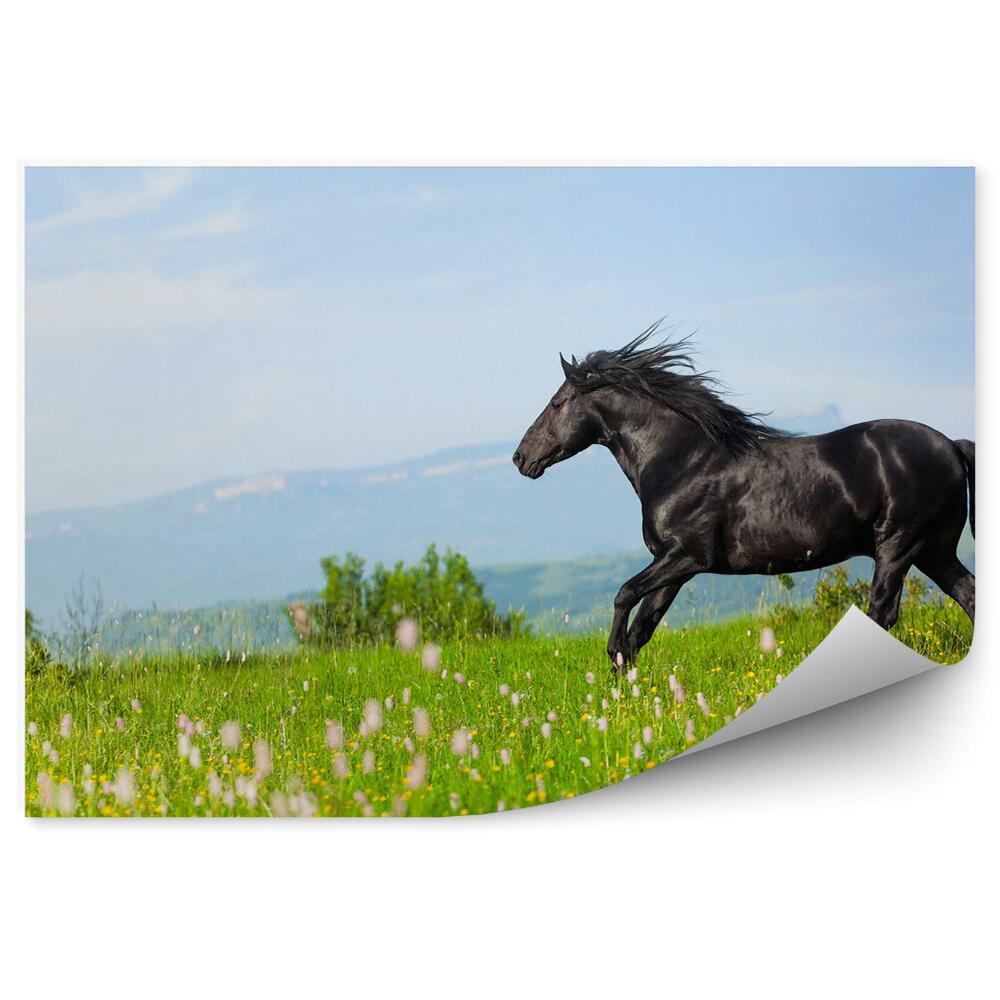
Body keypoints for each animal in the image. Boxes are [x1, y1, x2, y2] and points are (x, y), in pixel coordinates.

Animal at [513, 325, 975, 670]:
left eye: (557, 404)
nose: (521, 458)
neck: (683, 461)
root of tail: (951, 446)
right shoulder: (674, 567)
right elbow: (643, 626)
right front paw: (625, 683)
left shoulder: (687, 556)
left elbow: (625, 593)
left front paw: (615, 657)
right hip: (932, 551)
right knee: (967, 595)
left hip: (898, 545)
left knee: (882, 611)